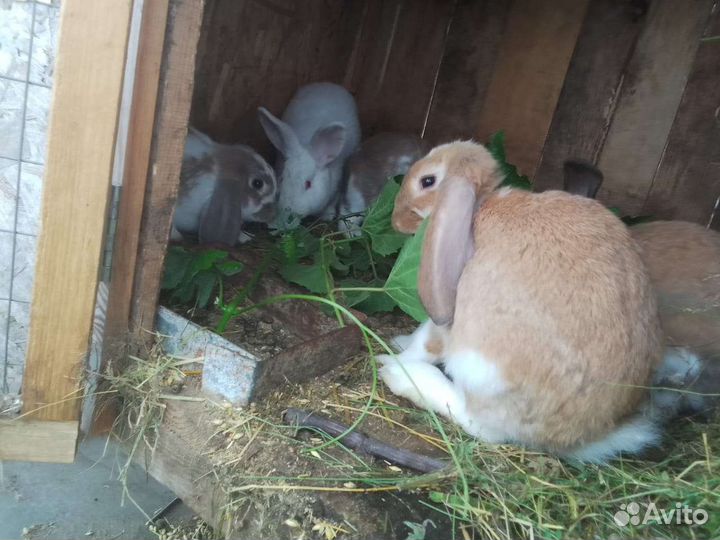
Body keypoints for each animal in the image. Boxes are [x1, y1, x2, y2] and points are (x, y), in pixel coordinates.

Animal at [378, 140, 663, 463]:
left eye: (427, 181)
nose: (395, 220)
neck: (482, 206)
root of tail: (573, 437)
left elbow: (427, 341)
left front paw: (394, 357)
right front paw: (399, 341)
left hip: (478, 365)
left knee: (479, 424)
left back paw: (401, 376)